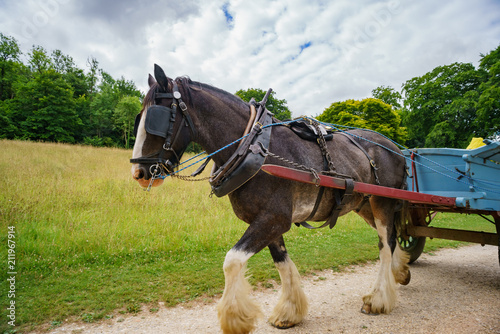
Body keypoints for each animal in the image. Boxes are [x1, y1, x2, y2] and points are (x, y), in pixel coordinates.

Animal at [129, 65, 410, 334]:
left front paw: (235, 320)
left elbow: (232, 261)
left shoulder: (273, 218)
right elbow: (282, 264)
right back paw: (401, 272)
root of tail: (396, 148)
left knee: (386, 244)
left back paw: (378, 298)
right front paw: (289, 312)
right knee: (392, 238)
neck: (253, 148)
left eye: (155, 118)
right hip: (365, 205)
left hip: (382, 203)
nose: (138, 173)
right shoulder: (268, 222)